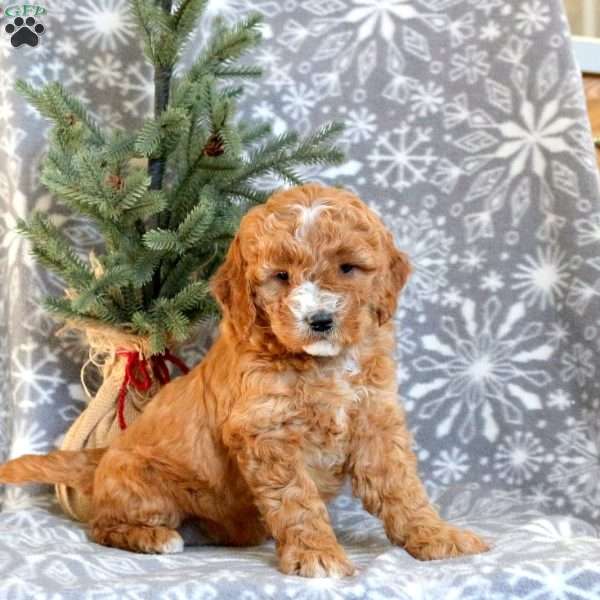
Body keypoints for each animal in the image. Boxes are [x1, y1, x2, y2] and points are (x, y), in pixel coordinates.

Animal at [0, 185, 488, 580]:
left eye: (348, 268)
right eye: (280, 277)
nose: (320, 320)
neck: (323, 365)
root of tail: (104, 455)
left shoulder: (374, 421)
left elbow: (401, 488)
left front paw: (436, 536)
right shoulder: (265, 431)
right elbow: (296, 500)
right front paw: (316, 554)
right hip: (142, 484)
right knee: (101, 526)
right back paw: (154, 537)